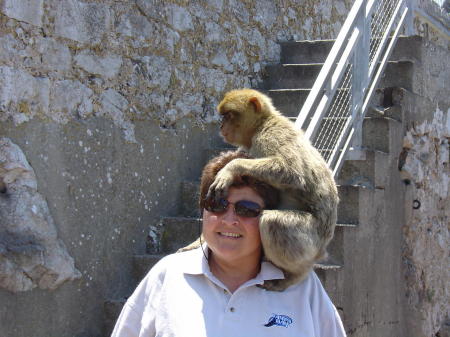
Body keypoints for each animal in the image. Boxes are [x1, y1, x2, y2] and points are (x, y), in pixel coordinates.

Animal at [193, 88, 338, 290]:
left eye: (228, 115)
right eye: (223, 116)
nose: (221, 126)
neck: (261, 125)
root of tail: (323, 247)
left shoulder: (271, 135)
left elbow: (292, 172)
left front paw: (231, 168)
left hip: (310, 242)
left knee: (272, 222)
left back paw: (294, 275)